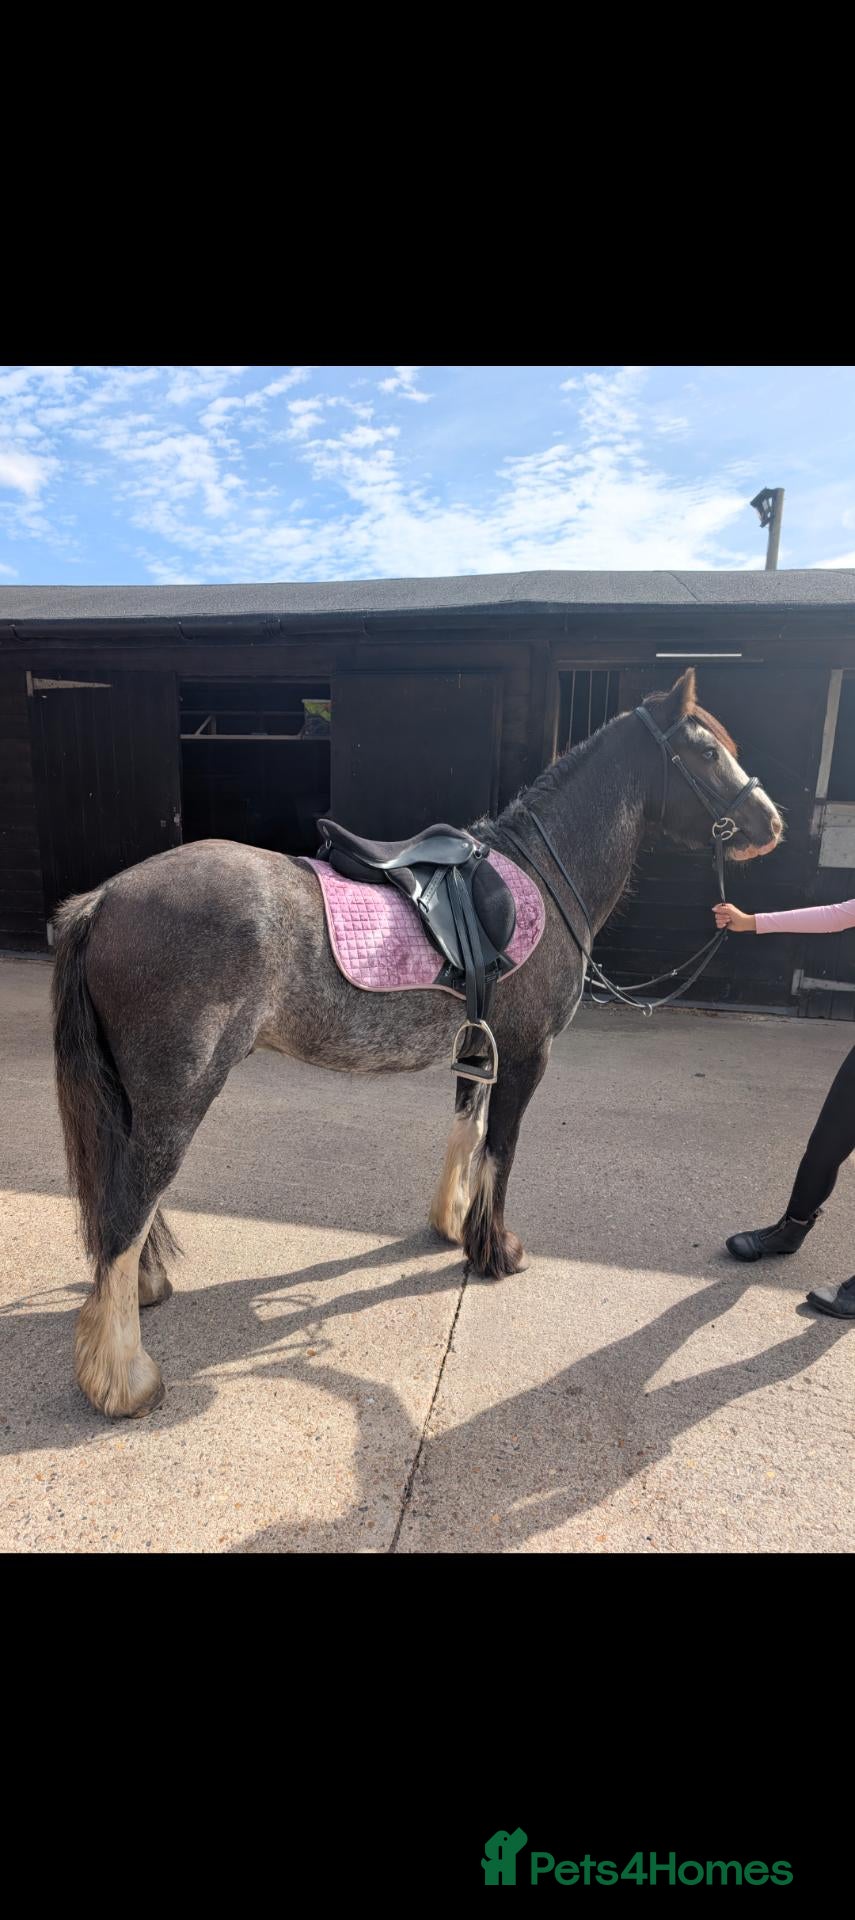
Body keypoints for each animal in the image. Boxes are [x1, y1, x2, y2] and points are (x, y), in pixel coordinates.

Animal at [51, 668, 783, 1419]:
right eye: (705, 752)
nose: (772, 824)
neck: (540, 880)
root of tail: (104, 899)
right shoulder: (528, 1055)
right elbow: (501, 1150)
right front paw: (496, 1252)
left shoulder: (478, 1049)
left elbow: (466, 1131)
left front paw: (453, 1227)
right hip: (177, 1097)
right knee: (126, 1208)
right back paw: (124, 1379)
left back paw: (143, 1294)